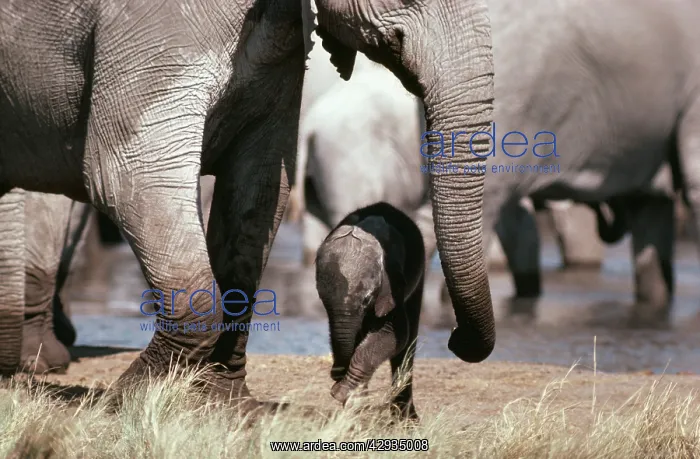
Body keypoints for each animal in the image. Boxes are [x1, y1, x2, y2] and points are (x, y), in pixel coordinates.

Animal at [316, 202, 424, 421]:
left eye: (367, 299)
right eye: (322, 298)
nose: (335, 375)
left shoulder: (392, 287)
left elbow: (394, 334)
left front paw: (342, 392)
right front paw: (352, 402)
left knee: (408, 342)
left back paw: (407, 420)